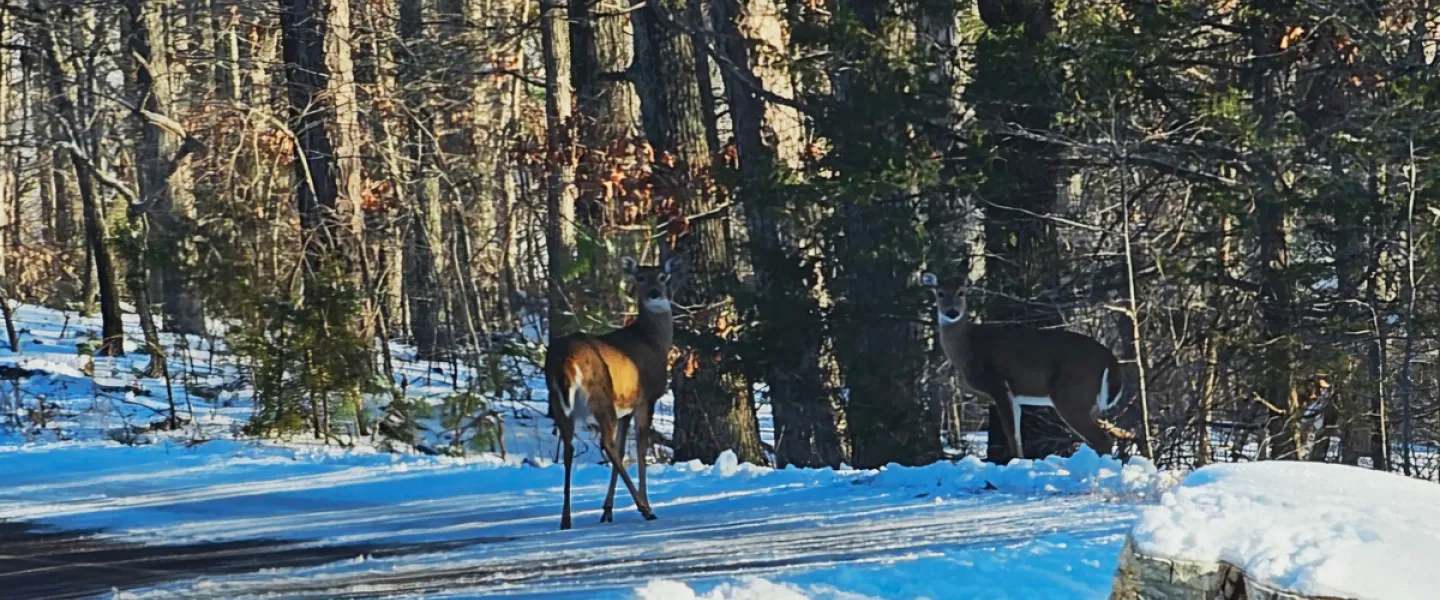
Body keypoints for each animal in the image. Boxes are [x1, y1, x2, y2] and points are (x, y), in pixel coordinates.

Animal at [544, 255, 683, 530]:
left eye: (663, 276)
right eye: (640, 277)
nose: (654, 293)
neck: (653, 342)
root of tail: (564, 360)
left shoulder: (625, 409)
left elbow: (622, 448)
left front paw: (607, 510)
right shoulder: (646, 398)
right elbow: (639, 448)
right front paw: (638, 504)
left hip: (560, 404)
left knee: (569, 449)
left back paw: (566, 520)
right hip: (601, 397)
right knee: (604, 444)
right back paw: (644, 509)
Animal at [922, 272, 1124, 460]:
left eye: (961, 292)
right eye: (940, 293)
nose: (952, 312)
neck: (969, 345)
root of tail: (1110, 359)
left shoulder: (999, 386)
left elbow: (1013, 437)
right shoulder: (1015, 397)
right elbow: (1017, 437)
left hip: (1072, 394)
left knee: (1103, 440)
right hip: (1089, 402)